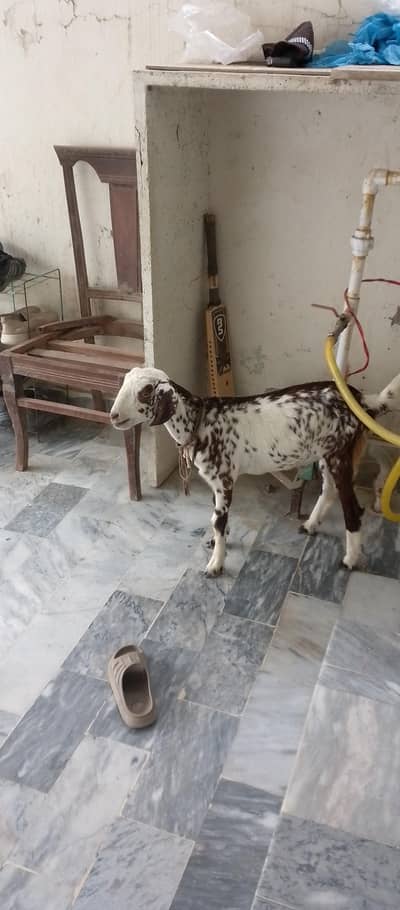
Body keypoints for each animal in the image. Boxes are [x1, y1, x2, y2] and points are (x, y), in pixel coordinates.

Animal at [110, 366, 400, 576]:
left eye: (146, 391)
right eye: (125, 383)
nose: (113, 415)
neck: (201, 421)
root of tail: (360, 399)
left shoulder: (224, 480)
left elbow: (218, 521)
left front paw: (216, 564)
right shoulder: (215, 483)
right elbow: (217, 518)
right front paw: (218, 543)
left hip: (340, 455)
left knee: (352, 508)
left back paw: (350, 559)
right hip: (326, 455)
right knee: (328, 490)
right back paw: (310, 525)